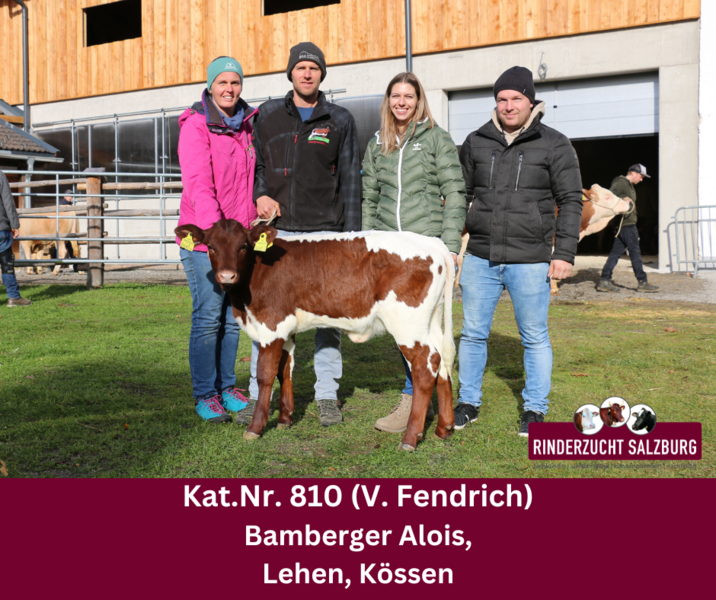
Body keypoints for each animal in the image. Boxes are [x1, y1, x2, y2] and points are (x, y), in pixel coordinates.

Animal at [174, 220, 457, 452]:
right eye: (210, 247)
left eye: (243, 246)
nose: (226, 276)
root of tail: (431, 242)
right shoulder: (286, 330)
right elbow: (285, 370)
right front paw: (285, 419)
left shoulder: (271, 325)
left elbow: (266, 375)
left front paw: (255, 427)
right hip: (430, 320)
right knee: (442, 362)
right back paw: (444, 428)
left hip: (407, 324)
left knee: (426, 365)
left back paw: (410, 438)